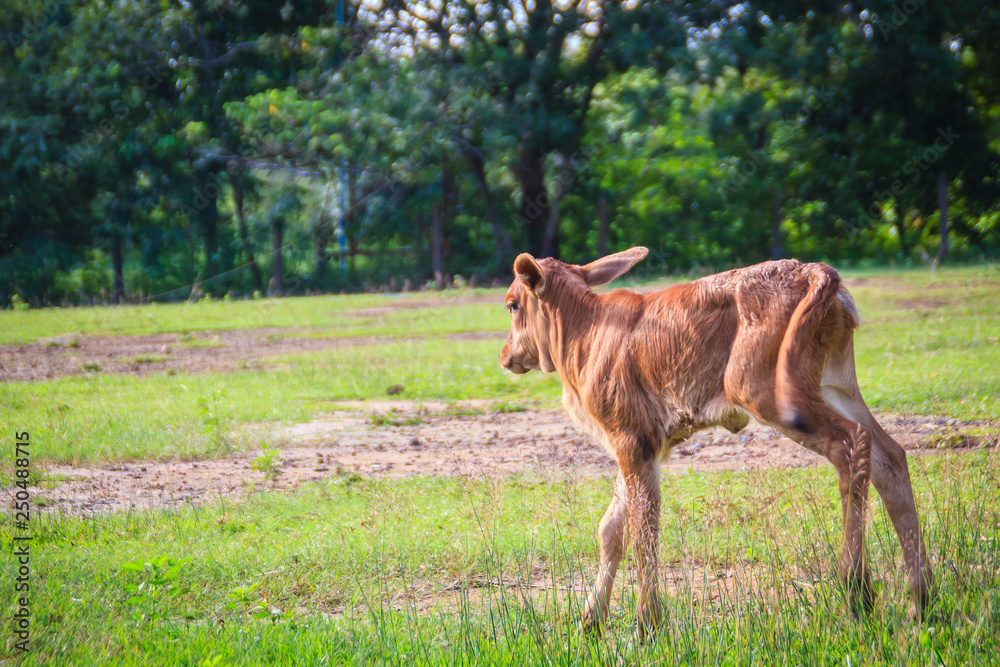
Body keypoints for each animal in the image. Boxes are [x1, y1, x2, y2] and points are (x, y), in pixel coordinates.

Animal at [499, 247, 934, 636]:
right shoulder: (645, 445)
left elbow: (643, 530)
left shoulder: (629, 437)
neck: (581, 337)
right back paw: (920, 600)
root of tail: (814, 270)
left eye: (512, 305)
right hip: (835, 385)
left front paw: (647, 625)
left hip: (765, 391)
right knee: (890, 456)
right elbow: (612, 529)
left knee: (851, 447)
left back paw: (858, 595)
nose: (505, 355)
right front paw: (592, 620)